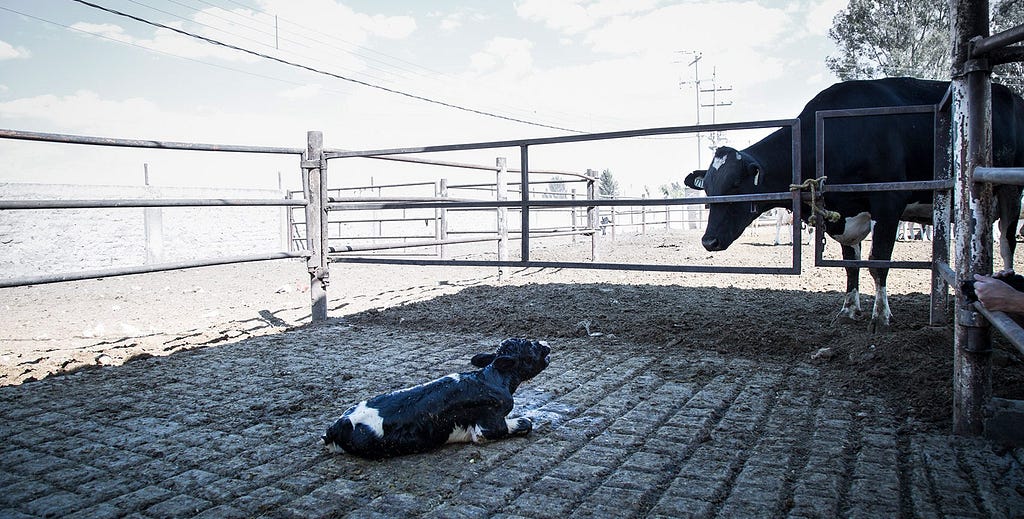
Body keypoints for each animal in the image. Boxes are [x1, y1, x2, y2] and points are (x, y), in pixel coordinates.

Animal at [323, 339, 552, 460]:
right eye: (530, 346)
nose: (546, 344)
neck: (490, 378)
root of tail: (338, 425)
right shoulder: (488, 426)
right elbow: (525, 423)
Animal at [684, 77, 1024, 333]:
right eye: (708, 190)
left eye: (735, 185)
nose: (709, 240)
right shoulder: (843, 214)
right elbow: (851, 265)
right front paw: (848, 309)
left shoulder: (889, 203)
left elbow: (877, 263)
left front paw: (881, 315)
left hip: (1011, 189)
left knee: (1007, 242)